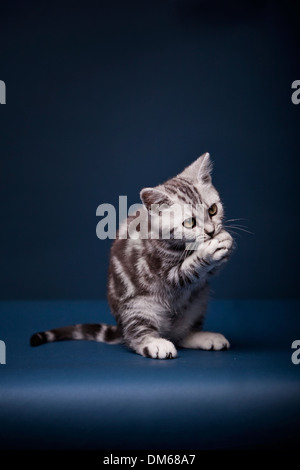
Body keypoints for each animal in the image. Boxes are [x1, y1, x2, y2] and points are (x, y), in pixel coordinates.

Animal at [30, 152, 233, 358]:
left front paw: (224, 240)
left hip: (199, 300)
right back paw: (155, 343)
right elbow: (187, 269)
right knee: (136, 335)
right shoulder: (164, 272)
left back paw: (202, 337)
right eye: (190, 223)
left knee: (183, 335)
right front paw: (209, 249)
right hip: (139, 305)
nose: (210, 231)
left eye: (213, 210)